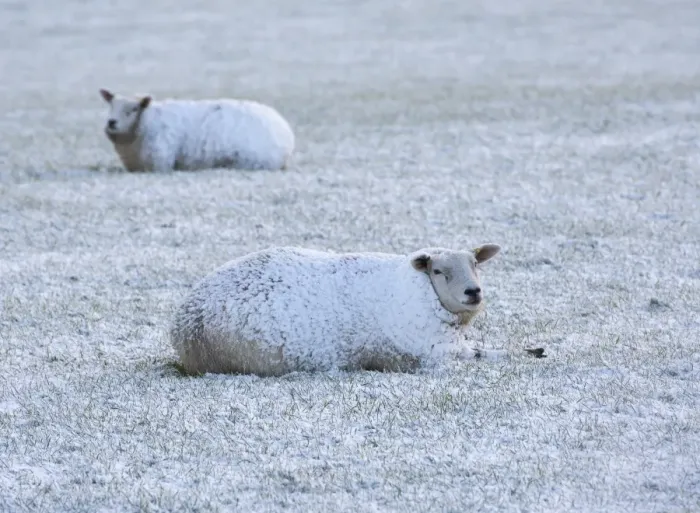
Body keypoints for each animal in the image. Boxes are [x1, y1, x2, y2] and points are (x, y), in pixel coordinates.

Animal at [170, 245, 544, 376]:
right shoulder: (427, 356)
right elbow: (484, 356)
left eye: (475, 264)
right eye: (438, 271)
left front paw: (533, 350)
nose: (473, 291)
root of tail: (183, 319)